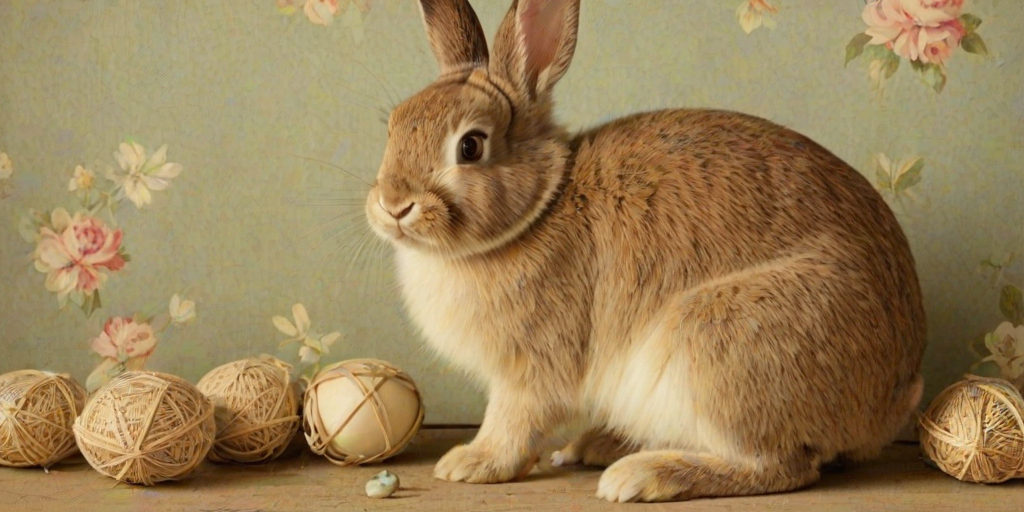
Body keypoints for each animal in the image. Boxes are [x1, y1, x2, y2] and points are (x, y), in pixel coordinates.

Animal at [364, 0, 927, 503]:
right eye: (393, 126)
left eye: (471, 146)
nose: (393, 205)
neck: (539, 209)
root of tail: (893, 400)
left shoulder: (532, 370)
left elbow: (514, 423)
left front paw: (470, 463)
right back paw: (597, 447)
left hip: (720, 348)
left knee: (780, 467)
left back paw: (641, 477)